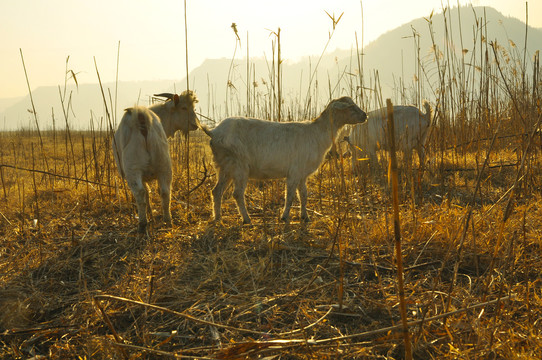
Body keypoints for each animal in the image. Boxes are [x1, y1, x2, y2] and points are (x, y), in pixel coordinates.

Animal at [112, 89, 200, 232]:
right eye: (184, 108)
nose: (195, 125)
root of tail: (141, 117)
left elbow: (147, 192)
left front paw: (150, 217)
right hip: (164, 164)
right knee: (165, 191)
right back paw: (168, 221)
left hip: (133, 168)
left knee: (140, 193)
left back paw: (142, 225)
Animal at [202, 97, 368, 224]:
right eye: (351, 107)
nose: (365, 116)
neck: (318, 132)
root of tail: (213, 132)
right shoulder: (294, 172)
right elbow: (290, 196)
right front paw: (284, 217)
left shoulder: (302, 174)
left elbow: (304, 195)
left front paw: (305, 217)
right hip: (239, 166)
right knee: (237, 194)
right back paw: (247, 219)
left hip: (224, 167)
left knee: (216, 191)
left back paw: (217, 218)